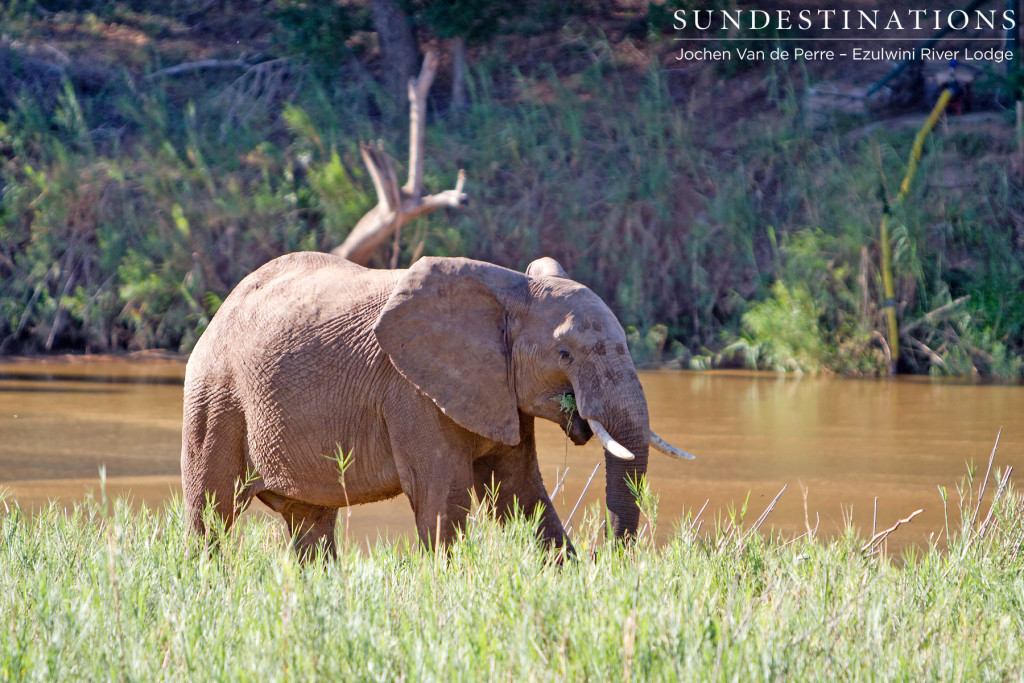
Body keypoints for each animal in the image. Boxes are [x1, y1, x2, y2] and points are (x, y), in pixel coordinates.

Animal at [182, 252, 696, 561]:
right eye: (565, 355)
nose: (605, 561)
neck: (511, 290)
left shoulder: (498, 390)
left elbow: (520, 491)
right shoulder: (412, 392)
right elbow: (444, 494)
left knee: (310, 521)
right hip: (215, 395)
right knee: (211, 511)